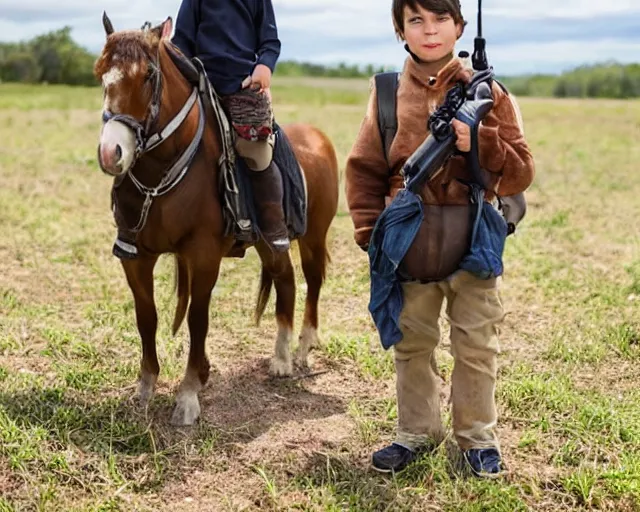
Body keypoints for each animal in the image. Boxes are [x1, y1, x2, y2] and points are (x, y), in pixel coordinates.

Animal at [94, 14, 340, 426]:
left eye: (148, 75)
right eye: (101, 74)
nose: (111, 153)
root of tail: (318, 136)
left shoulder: (204, 254)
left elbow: (197, 318)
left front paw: (189, 394)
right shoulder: (137, 258)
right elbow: (147, 316)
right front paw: (145, 388)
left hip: (313, 236)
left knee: (312, 280)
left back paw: (302, 348)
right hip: (269, 243)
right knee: (286, 280)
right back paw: (281, 357)